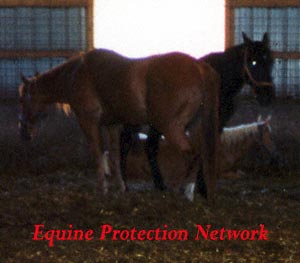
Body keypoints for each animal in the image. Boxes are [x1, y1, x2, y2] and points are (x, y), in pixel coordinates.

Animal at [18, 48, 220, 203]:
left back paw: (184, 192)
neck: (78, 74)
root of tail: (198, 67)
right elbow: (115, 156)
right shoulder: (112, 125)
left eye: (23, 99)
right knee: (199, 155)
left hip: (171, 127)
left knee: (192, 154)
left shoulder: (89, 122)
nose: (24, 133)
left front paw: (102, 189)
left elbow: (98, 154)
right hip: (191, 127)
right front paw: (121, 188)